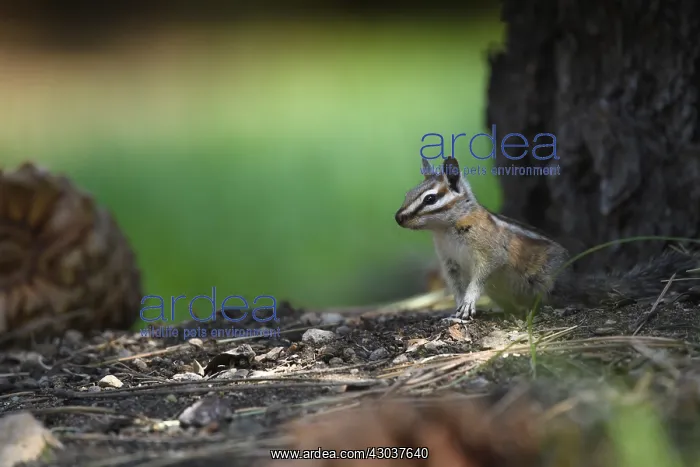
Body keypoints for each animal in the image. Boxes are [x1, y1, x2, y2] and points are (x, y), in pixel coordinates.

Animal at [395, 156, 699, 321]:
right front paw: (457, 308)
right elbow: (457, 285)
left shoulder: (488, 251)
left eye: (430, 199)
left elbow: (480, 276)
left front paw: (469, 301)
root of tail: (571, 279)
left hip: (543, 281)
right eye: (408, 193)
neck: (445, 230)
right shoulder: (450, 263)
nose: (398, 218)